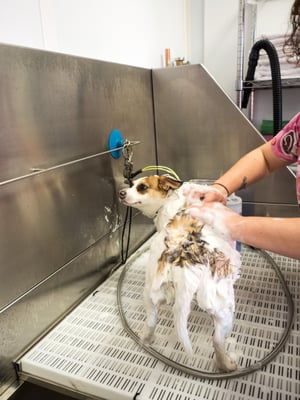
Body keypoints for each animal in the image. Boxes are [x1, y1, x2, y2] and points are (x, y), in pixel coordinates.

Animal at [118, 175, 240, 372]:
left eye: (141, 187)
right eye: (132, 184)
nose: (121, 192)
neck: (172, 203)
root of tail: (180, 260)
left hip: (150, 297)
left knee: (150, 324)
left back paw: (148, 339)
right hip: (224, 308)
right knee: (217, 341)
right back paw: (227, 365)